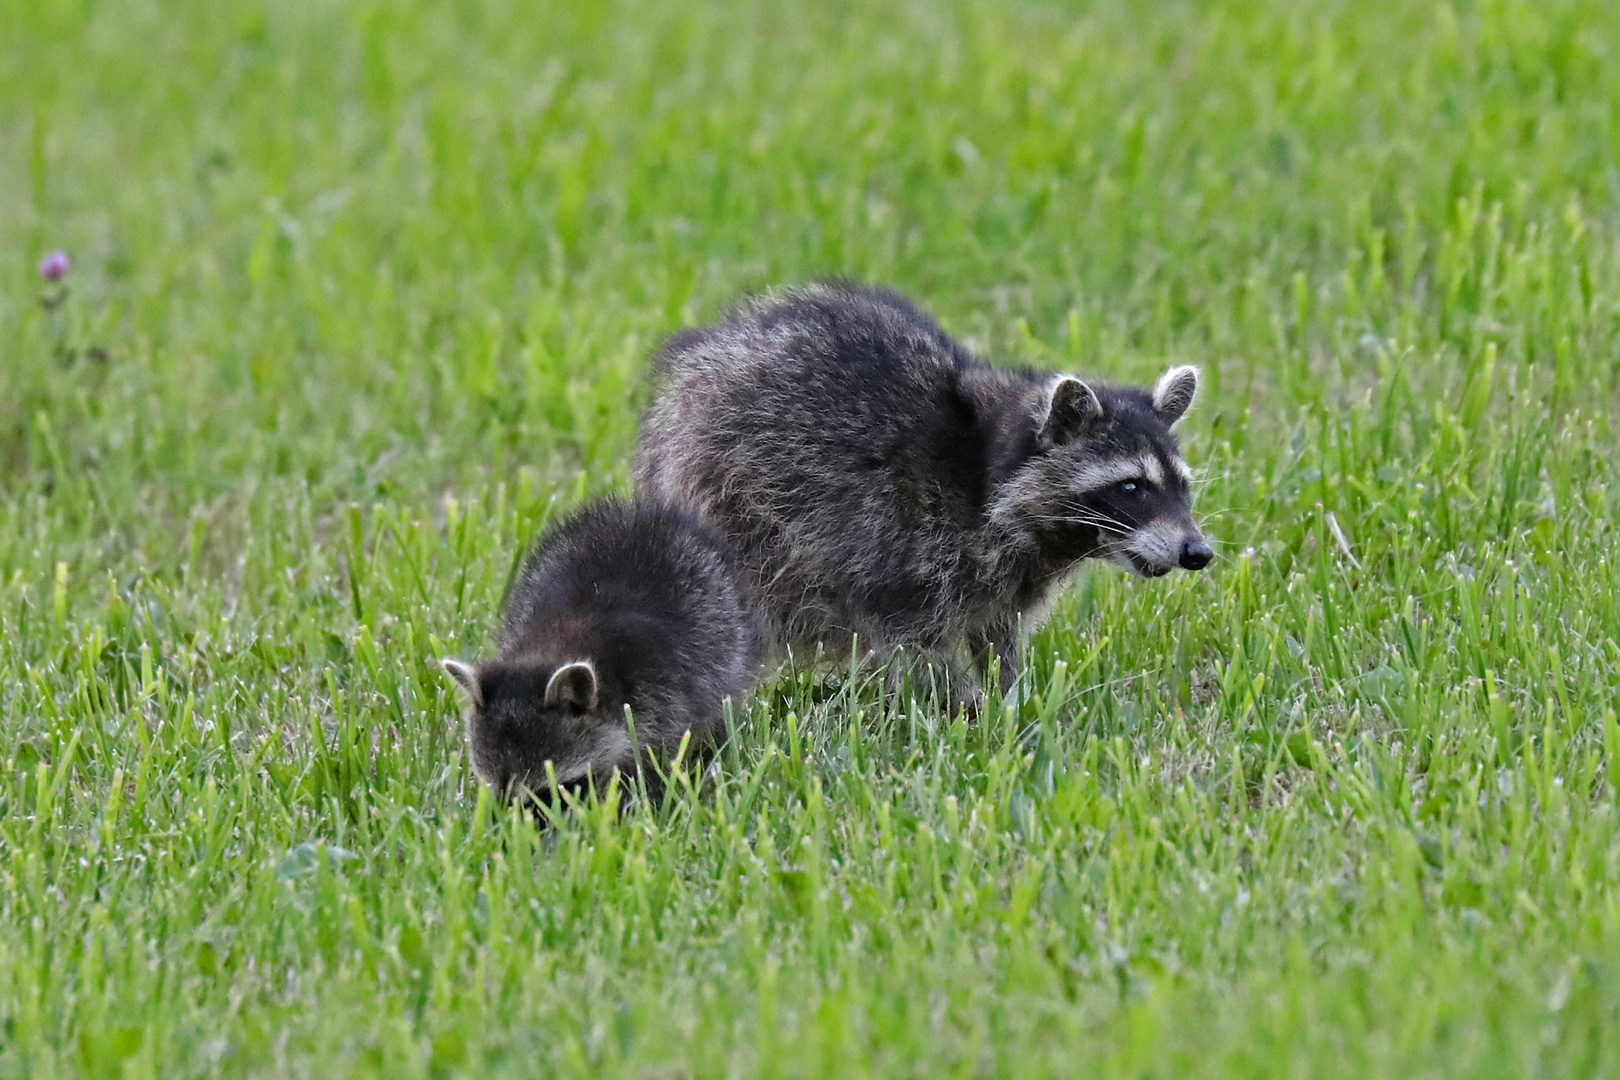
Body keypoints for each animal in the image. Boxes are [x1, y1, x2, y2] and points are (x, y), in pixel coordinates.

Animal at [638, 283, 1211, 705]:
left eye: (1181, 487)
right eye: (1132, 487)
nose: (1198, 552)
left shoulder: (1007, 582)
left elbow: (998, 635)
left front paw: (1014, 698)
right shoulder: (901, 541)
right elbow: (915, 643)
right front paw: (967, 708)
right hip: (734, 499)